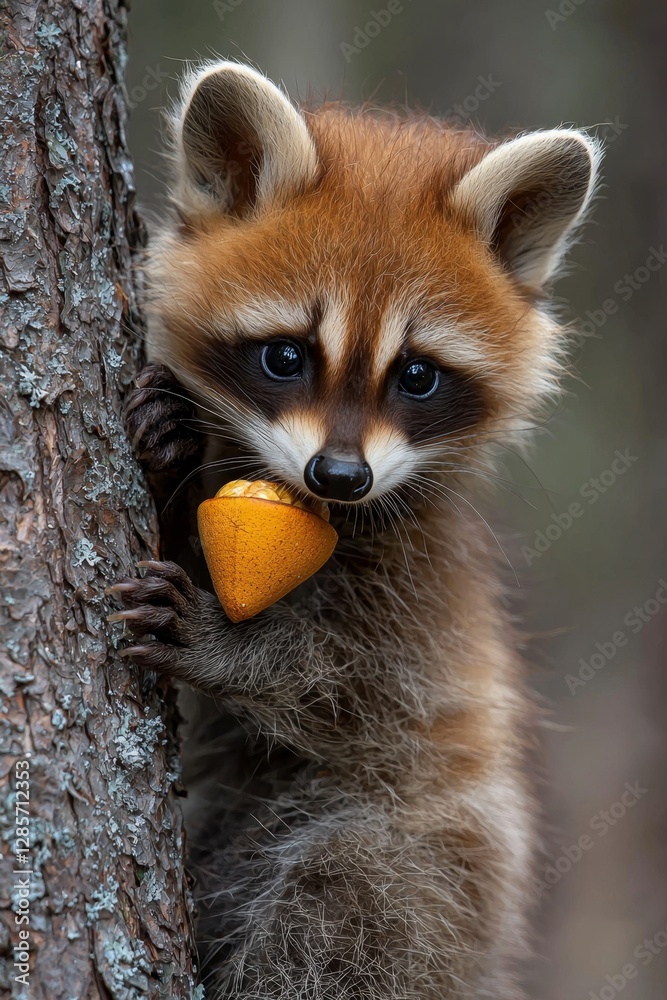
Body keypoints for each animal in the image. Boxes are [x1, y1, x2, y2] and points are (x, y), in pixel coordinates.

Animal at [112, 61, 600, 998]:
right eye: (285, 356)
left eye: (416, 375)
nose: (338, 476)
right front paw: (169, 457)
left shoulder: (415, 584)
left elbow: (352, 684)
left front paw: (245, 649)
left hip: (416, 864)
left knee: (327, 929)